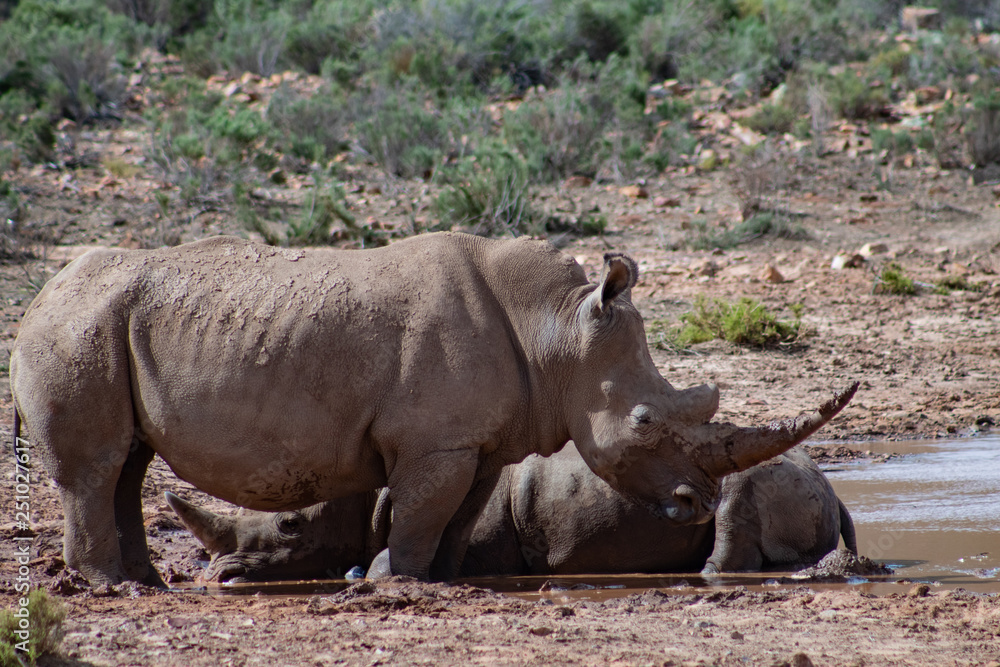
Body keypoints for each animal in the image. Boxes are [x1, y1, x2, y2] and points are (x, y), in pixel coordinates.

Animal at [10, 232, 857, 586]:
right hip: (77, 326)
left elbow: (454, 512)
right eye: (646, 423)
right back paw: (112, 588)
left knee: (128, 464)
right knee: (96, 468)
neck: (555, 330)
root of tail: (40, 293)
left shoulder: (477, 443)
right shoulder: (435, 441)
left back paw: (145, 583)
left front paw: (442, 577)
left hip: (101, 321)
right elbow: (422, 507)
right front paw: (395, 578)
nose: (696, 500)